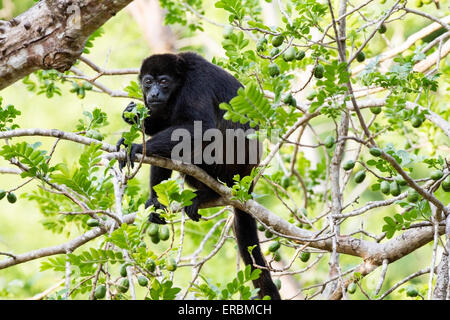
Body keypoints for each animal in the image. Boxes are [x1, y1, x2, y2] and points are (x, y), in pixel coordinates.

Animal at [118, 51, 282, 298]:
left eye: (163, 82)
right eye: (148, 82)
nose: (153, 93)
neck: (181, 79)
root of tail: (246, 182)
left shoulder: (197, 84)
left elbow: (201, 128)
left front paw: (135, 146)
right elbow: (164, 124)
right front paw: (133, 115)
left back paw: (207, 194)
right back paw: (157, 202)